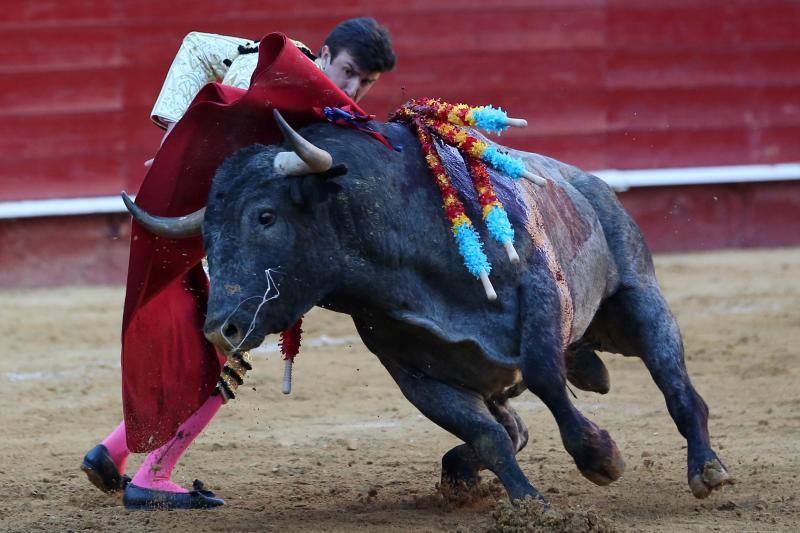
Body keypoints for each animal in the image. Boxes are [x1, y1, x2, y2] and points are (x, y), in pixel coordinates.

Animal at [128, 110, 736, 500]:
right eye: (206, 238)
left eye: (265, 216)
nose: (220, 330)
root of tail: (589, 183)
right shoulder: (414, 372)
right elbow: (489, 436)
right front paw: (528, 503)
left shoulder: (539, 297)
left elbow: (544, 376)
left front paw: (600, 455)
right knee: (511, 427)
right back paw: (462, 475)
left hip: (636, 302)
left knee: (678, 387)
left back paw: (707, 469)